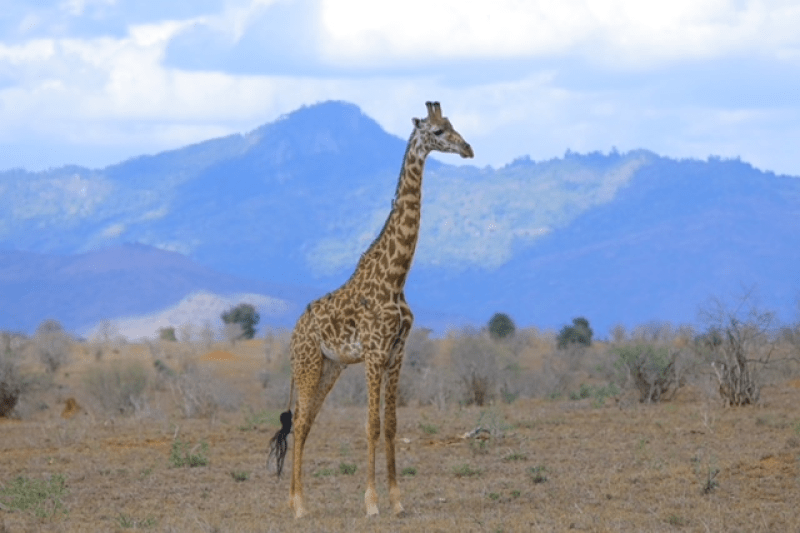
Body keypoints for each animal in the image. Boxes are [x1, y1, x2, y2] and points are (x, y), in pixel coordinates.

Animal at [268, 100, 472, 516]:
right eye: (438, 131)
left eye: (452, 124)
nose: (468, 149)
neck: (396, 279)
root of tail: (294, 331)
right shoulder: (375, 353)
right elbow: (371, 426)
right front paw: (372, 503)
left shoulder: (396, 353)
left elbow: (391, 424)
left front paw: (397, 500)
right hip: (308, 364)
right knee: (299, 423)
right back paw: (298, 506)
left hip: (330, 368)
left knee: (305, 423)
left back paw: (300, 501)